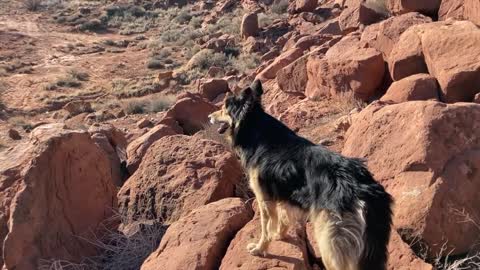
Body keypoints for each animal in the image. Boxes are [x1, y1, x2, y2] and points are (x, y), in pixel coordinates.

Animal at [208, 80, 392, 270]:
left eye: (224, 108)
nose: (208, 116)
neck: (257, 130)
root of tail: (365, 190)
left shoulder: (264, 199)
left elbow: (266, 228)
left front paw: (260, 248)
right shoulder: (284, 197)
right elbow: (283, 219)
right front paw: (279, 236)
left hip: (330, 241)